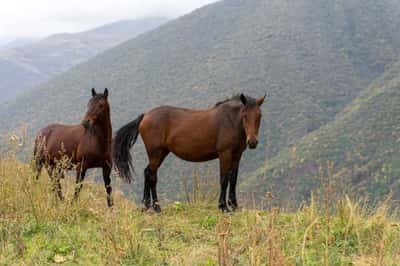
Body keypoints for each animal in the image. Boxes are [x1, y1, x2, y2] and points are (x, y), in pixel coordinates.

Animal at [112, 93, 266, 212]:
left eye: (259, 116)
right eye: (244, 115)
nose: (252, 142)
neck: (230, 121)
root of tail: (145, 116)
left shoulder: (237, 155)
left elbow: (233, 179)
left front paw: (234, 205)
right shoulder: (225, 154)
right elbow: (224, 179)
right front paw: (223, 206)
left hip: (161, 153)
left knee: (147, 172)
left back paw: (147, 205)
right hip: (155, 153)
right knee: (152, 176)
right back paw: (156, 207)